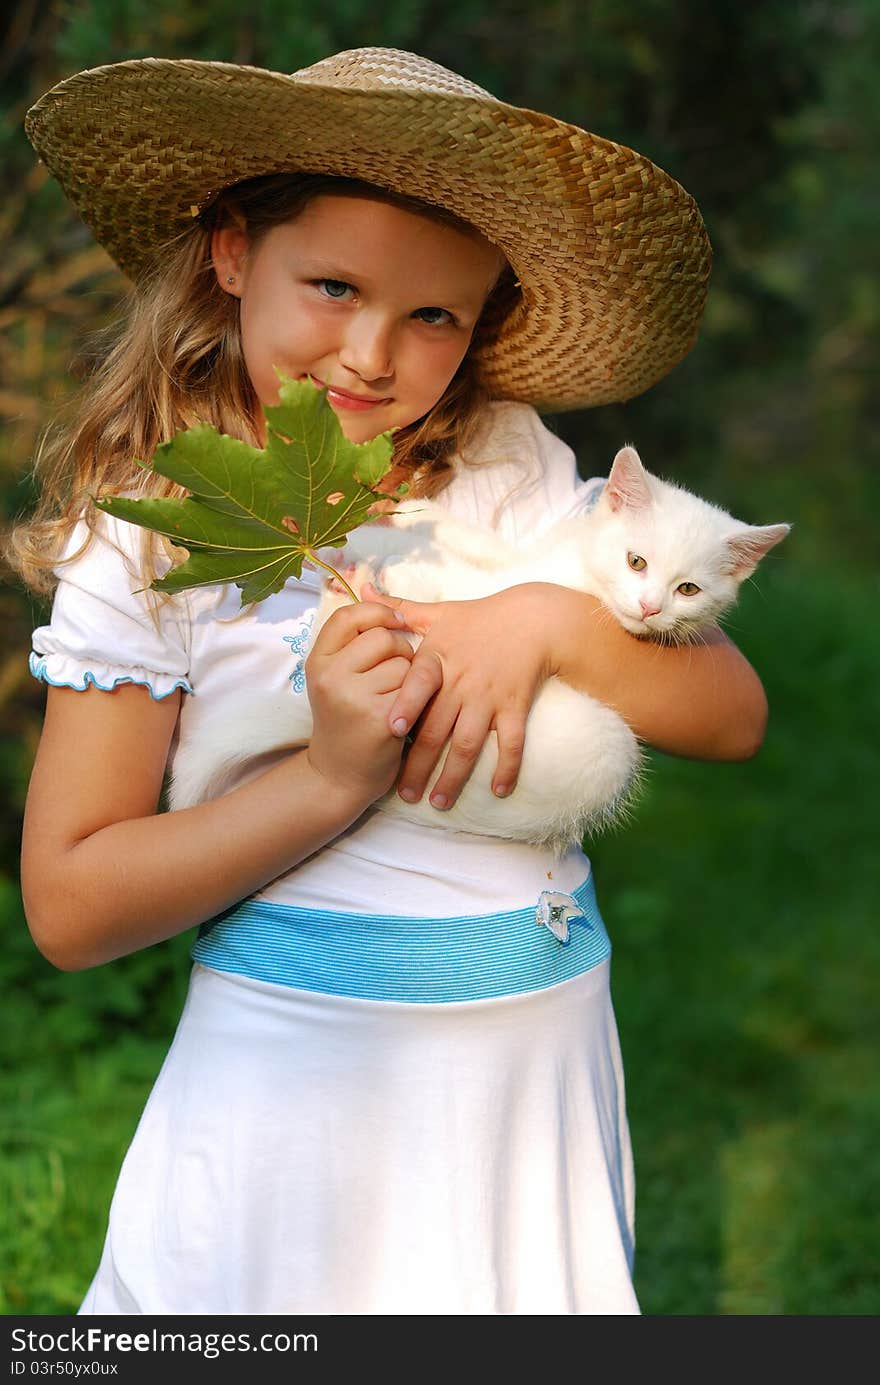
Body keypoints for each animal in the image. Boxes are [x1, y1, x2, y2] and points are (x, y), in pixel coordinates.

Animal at [168, 445, 787, 853]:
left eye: (689, 590)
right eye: (637, 561)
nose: (651, 607)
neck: (583, 572)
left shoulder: (515, 592)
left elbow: (475, 590)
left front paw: (393, 558)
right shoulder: (524, 557)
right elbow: (475, 542)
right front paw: (403, 516)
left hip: (602, 745)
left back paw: (355, 594)